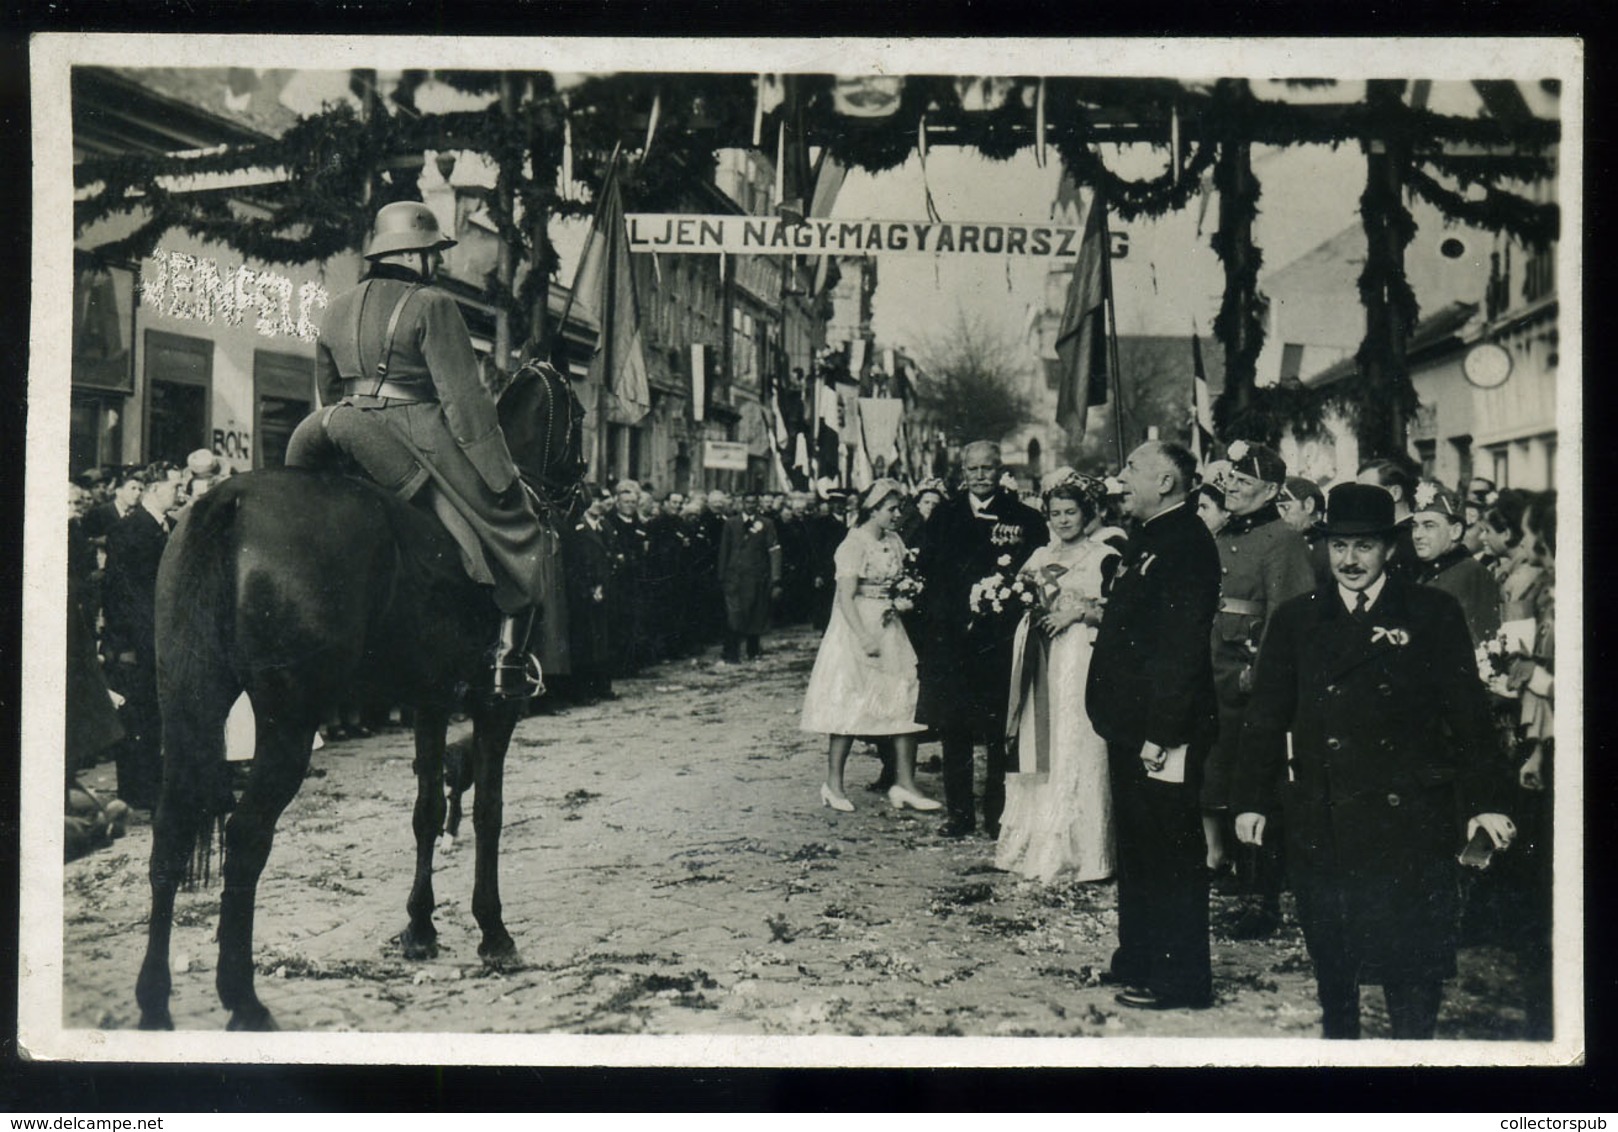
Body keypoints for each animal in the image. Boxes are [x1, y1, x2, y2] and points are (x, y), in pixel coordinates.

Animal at [137, 362, 582, 1034]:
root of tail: (228, 501)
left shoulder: (430, 699)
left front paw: (420, 928)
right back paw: (243, 999)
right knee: (246, 836)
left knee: (171, 828)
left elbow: (428, 808)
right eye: (578, 415)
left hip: (192, 698)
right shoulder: (494, 704)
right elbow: (488, 811)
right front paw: (493, 931)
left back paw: (155, 1001)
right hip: (289, 722)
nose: (577, 488)